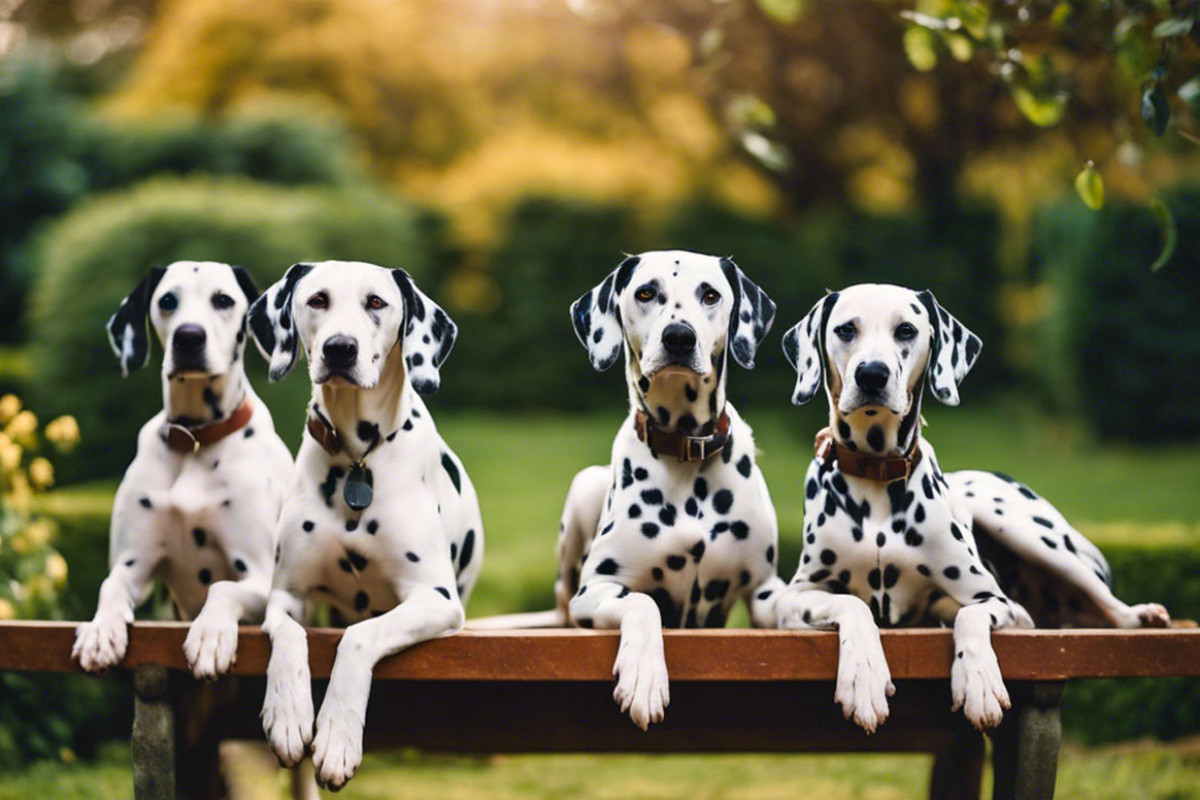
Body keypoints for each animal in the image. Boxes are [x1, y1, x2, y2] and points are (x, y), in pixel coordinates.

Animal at [72, 262, 292, 681]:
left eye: (223, 300)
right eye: (168, 301)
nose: (189, 336)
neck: (196, 438)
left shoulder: (260, 578)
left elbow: (222, 587)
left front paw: (210, 635)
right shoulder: (132, 566)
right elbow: (110, 587)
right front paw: (100, 631)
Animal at [249, 261, 482, 786]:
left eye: (376, 302)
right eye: (317, 299)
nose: (340, 347)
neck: (357, 456)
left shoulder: (435, 600)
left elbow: (358, 637)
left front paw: (338, 734)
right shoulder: (287, 597)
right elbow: (289, 639)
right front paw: (288, 713)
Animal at [554, 251, 782, 734]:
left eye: (710, 294)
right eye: (645, 292)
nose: (679, 337)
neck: (685, 446)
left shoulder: (764, 590)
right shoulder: (596, 590)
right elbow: (643, 602)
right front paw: (644, 677)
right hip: (584, 491)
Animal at [777, 284, 1171, 734]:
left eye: (906, 329)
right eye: (845, 329)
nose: (872, 373)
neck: (877, 474)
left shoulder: (996, 601)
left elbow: (970, 617)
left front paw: (979, 681)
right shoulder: (794, 597)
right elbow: (852, 604)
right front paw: (864, 678)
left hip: (1025, 530)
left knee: (1109, 605)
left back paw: (1142, 614)